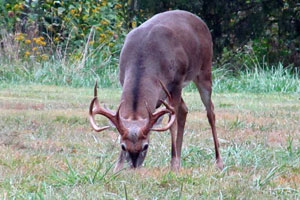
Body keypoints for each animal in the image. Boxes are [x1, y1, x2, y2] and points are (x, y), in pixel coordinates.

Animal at [88, 9, 223, 172]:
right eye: (123, 147)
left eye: (146, 146)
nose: (134, 167)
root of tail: (199, 20)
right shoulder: (123, 78)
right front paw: (117, 167)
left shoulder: (176, 82)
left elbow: (172, 123)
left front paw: (174, 164)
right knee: (184, 110)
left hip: (204, 70)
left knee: (210, 111)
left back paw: (218, 162)